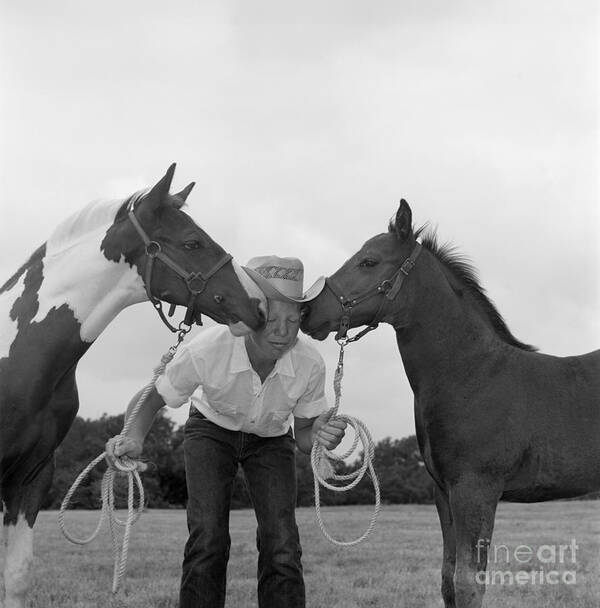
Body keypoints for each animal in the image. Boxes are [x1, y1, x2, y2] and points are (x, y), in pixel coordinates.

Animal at [302, 197, 600, 604]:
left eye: (369, 261)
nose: (308, 311)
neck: (470, 374)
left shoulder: (475, 489)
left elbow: (468, 582)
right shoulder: (443, 491)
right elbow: (447, 578)